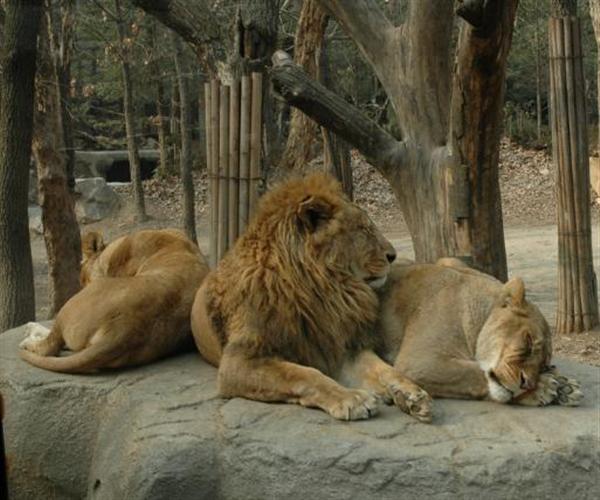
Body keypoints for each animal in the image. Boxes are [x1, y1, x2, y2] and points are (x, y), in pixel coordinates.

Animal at [192, 174, 432, 420]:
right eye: (363, 229)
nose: (393, 255)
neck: (322, 289)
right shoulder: (239, 360)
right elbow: (304, 374)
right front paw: (352, 399)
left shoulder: (338, 345)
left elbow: (382, 368)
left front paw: (410, 393)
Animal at [378, 258, 584, 406]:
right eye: (528, 341)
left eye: (543, 366)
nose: (526, 384)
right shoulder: (419, 360)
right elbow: (469, 373)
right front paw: (545, 387)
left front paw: (564, 387)